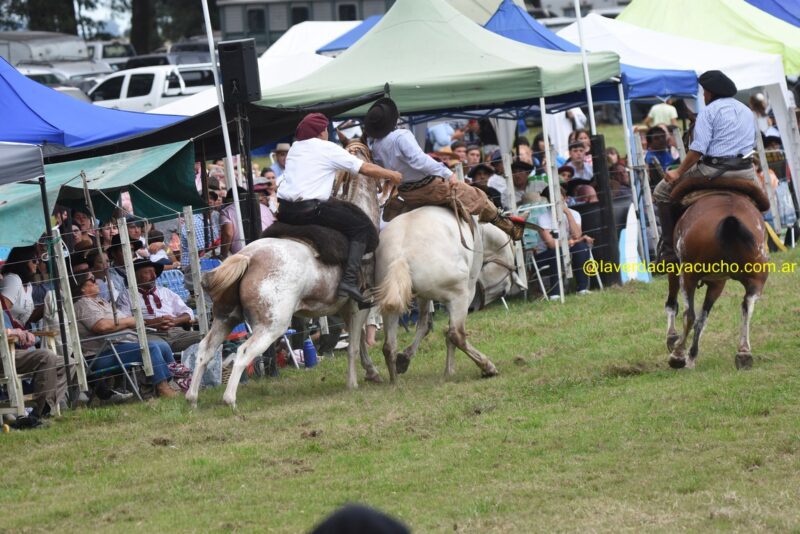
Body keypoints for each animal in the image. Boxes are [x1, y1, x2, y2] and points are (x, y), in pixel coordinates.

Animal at [185, 142, 384, 408]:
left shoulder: (346, 308)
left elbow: (359, 341)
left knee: (205, 350)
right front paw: (353, 383)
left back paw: (192, 398)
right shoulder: (357, 305)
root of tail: (249, 257)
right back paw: (229, 399)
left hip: (226, 318)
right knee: (243, 353)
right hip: (271, 326)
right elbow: (353, 345)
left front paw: (371, 372)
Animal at [375, 206, 499, 383]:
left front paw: (404, 359)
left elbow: (424, 325)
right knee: (456, 334)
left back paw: (395, 382)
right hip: (458, 296)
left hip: (390, 304)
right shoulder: (466, 291)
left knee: (388, 346)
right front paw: (449, 370)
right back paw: (487, 367)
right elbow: (447, 331)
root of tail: (400, 256)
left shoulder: (423, 297)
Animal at [664, 185, 769, 371]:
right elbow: (703, 318)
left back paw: (677, 355)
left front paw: (673, 340)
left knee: (689, 314)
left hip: (688, 275)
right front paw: (692, 356)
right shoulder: (717, 283)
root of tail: (730, 220)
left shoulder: (676, 266)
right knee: (747, 305)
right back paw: (743, 352)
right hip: (757, 278)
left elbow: (673, 305)